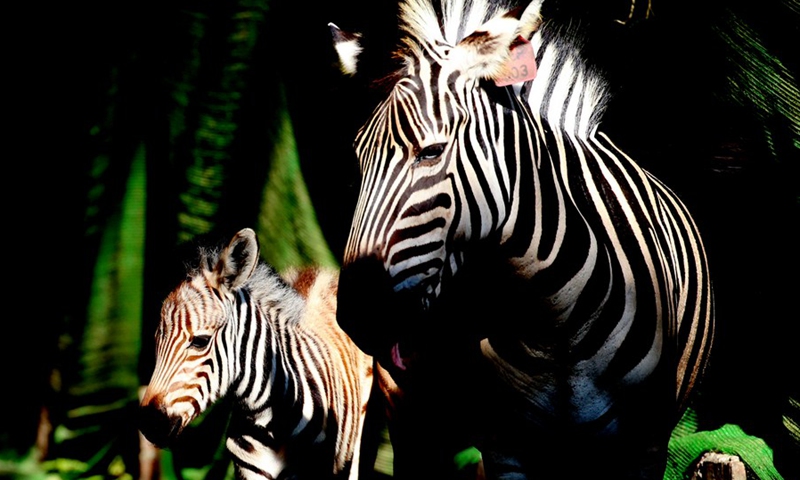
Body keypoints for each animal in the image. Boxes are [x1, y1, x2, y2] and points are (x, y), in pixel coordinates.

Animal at [328, 1, 716, 478]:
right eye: (359, 158)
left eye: (431, 152)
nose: (357, 314)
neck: (555, 322)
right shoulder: (506, 448)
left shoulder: (643, 447)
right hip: (412, 414)